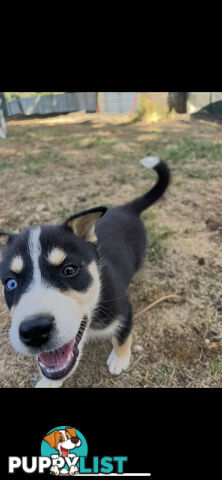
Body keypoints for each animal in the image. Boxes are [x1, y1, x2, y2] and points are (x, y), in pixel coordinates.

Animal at [0, 156, 170, 388]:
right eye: (11, 283)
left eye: (69, 270)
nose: (34, 331)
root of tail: (126, 208)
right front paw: (48, 381)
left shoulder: (124, 309)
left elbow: (123, 335)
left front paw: (120, 359)